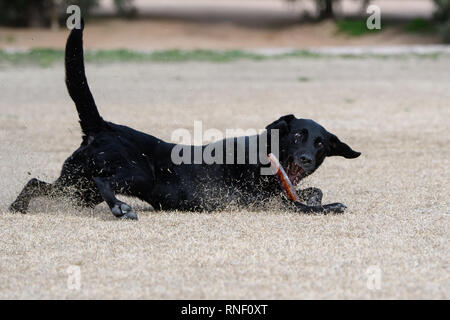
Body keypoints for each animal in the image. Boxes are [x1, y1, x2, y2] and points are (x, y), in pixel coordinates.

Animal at [8, 24, 360, 220]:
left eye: (320, 144)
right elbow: (305, 206)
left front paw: (316, 195)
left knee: (37, 183)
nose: (306, 158)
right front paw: (328, 207)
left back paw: (17, 207)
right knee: (102, 180)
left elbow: (313, 191)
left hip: (76, 188)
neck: (266, 157)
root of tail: (103, 126)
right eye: (298, 136)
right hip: (133, 173)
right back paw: (121, 209)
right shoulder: (265, 202)